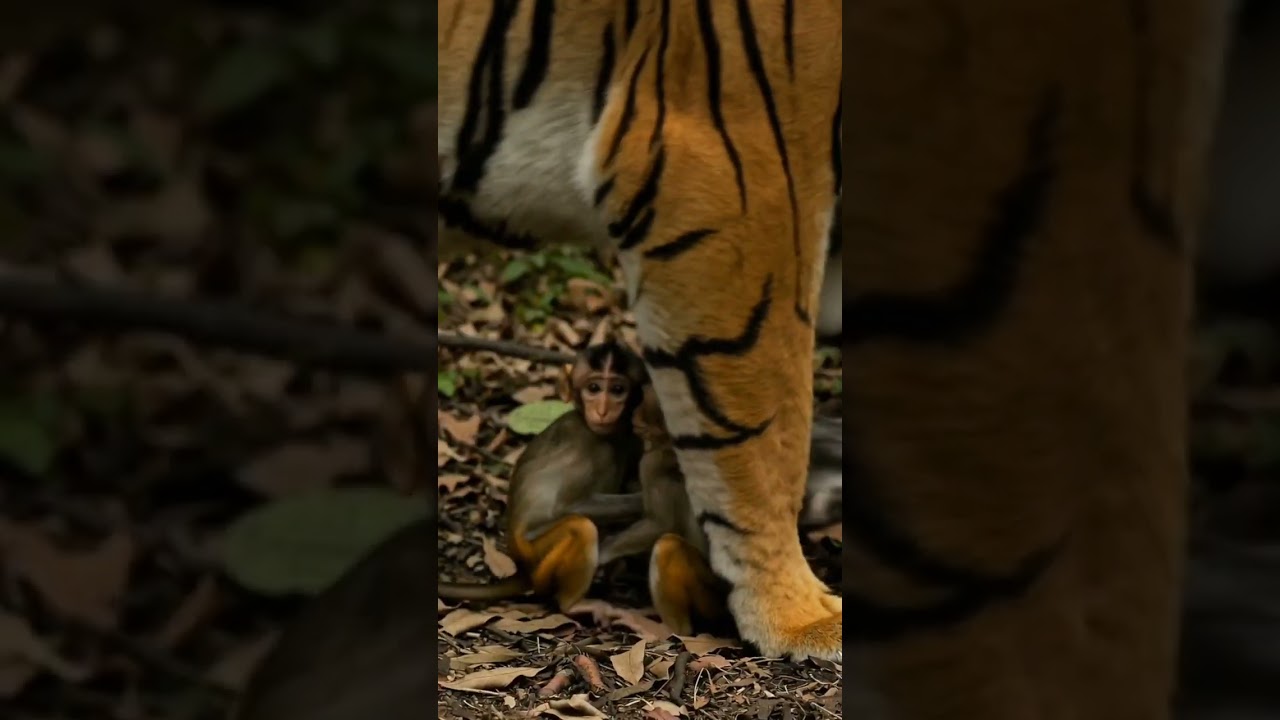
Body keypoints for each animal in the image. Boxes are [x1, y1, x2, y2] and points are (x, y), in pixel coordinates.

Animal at [437, 340, 649, 611]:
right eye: (593, 388)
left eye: (618, 390)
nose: (602, 410)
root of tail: (523, 570)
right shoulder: (585, 446)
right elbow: (569, 506)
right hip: (539, 559)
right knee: (582, 527)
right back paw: (573, 605)